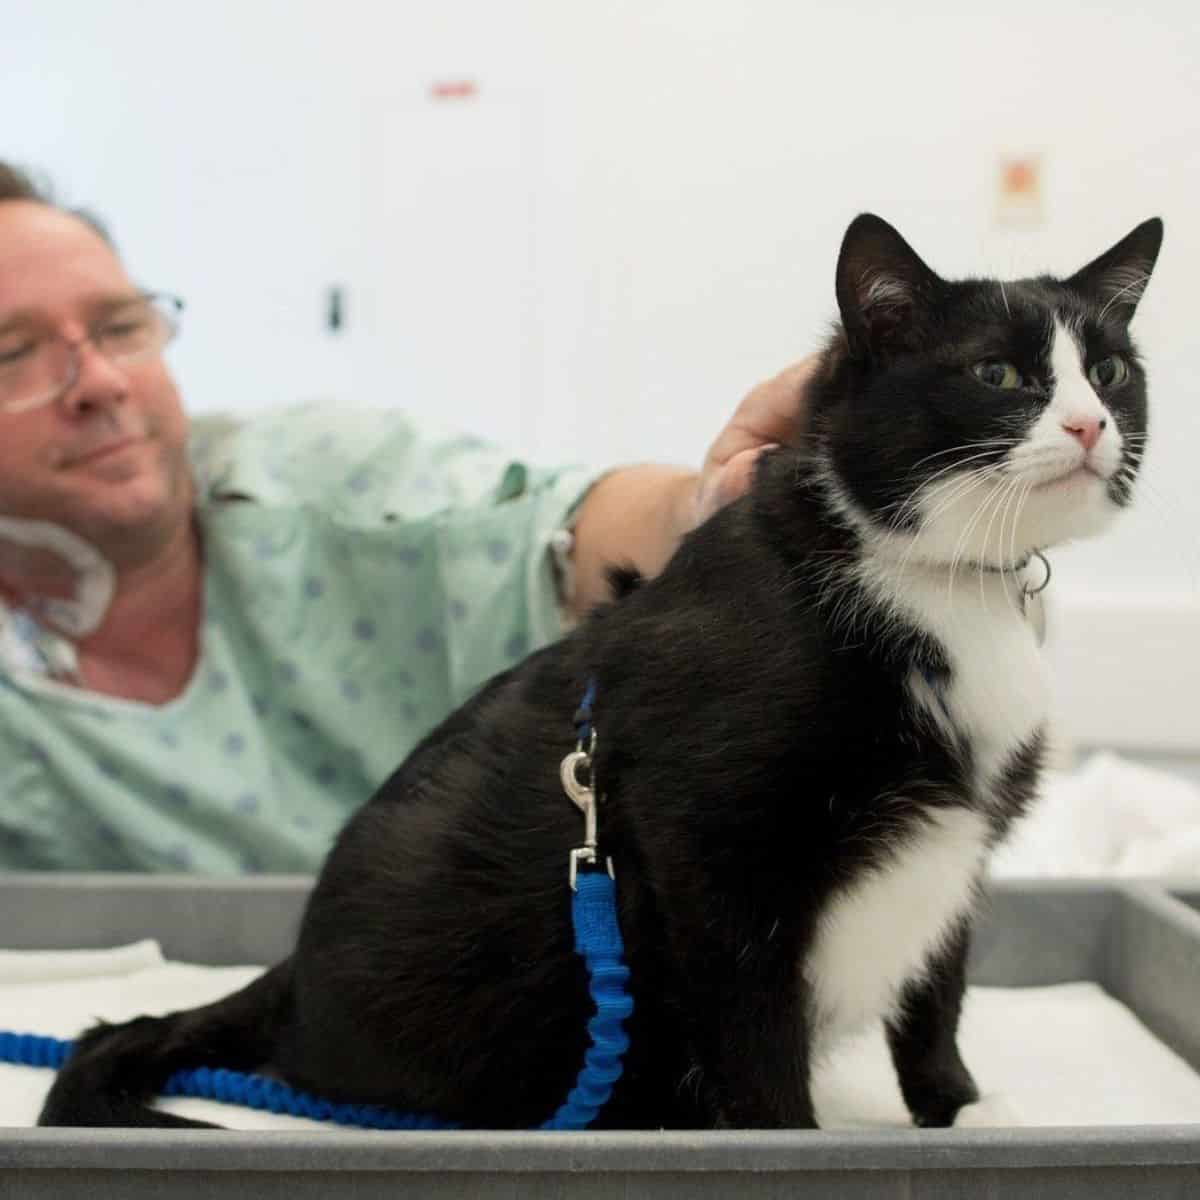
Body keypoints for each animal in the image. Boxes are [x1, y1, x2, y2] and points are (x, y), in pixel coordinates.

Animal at [42, 211, 1156, 1128]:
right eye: (997, 376)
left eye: (1109, 372)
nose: (1090, 426)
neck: (941, 584)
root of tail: (288, 974)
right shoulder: (705, 844)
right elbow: (755, 1032)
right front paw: (789, 1137)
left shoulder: (959, 844)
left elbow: (937, 992)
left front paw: (959, 1111)